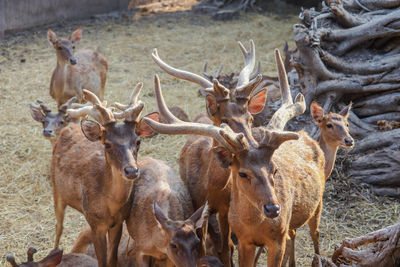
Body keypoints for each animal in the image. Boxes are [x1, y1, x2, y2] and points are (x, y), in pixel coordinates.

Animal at [50, 84, 156, 267]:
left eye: (138, 141)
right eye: (107, 143)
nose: (131, 170)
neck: (110, 207)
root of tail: (68, 128)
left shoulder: (118, 222)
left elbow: (112, 259)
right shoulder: (96, 224)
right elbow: (101, 260)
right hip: (56, 188)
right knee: (58, 226)